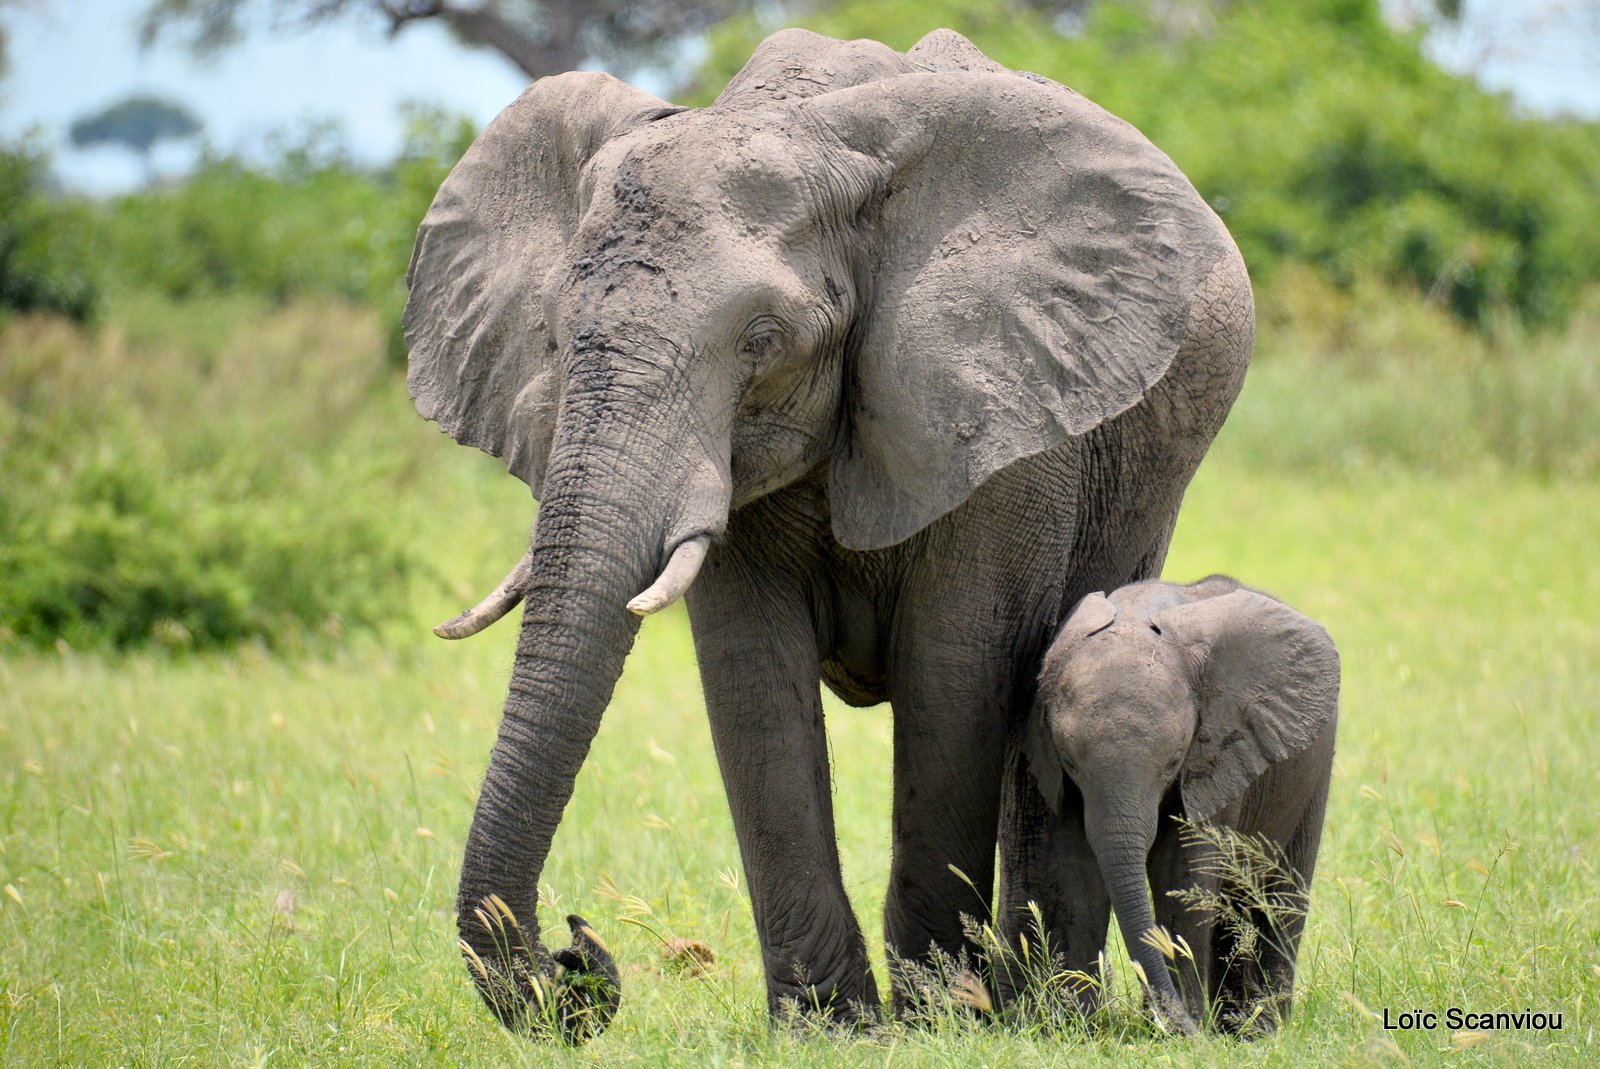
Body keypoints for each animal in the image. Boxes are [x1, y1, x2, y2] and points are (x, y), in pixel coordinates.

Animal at [406, 27, 1254, 1043]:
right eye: (556, 337)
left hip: (1146, 472)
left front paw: (941, 1015)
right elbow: (751, 680)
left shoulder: (1000, 419)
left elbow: (954, 674)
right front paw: (830, 1025)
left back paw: (1045, 1009)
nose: (576, 958)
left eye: (762, 339)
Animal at [1024, 576, 1337, 1036]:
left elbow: (1182, 870)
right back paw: (1233, 1023)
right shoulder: (1059, 776)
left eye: (1174, 761)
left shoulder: (1217, 758)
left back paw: (1263, 1028)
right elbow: (1075, 868)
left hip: (1313, 769)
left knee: (1281, 896)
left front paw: (1179, 1028)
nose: (1174, 1025)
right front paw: (1075, 1025)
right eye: (1069, 760)